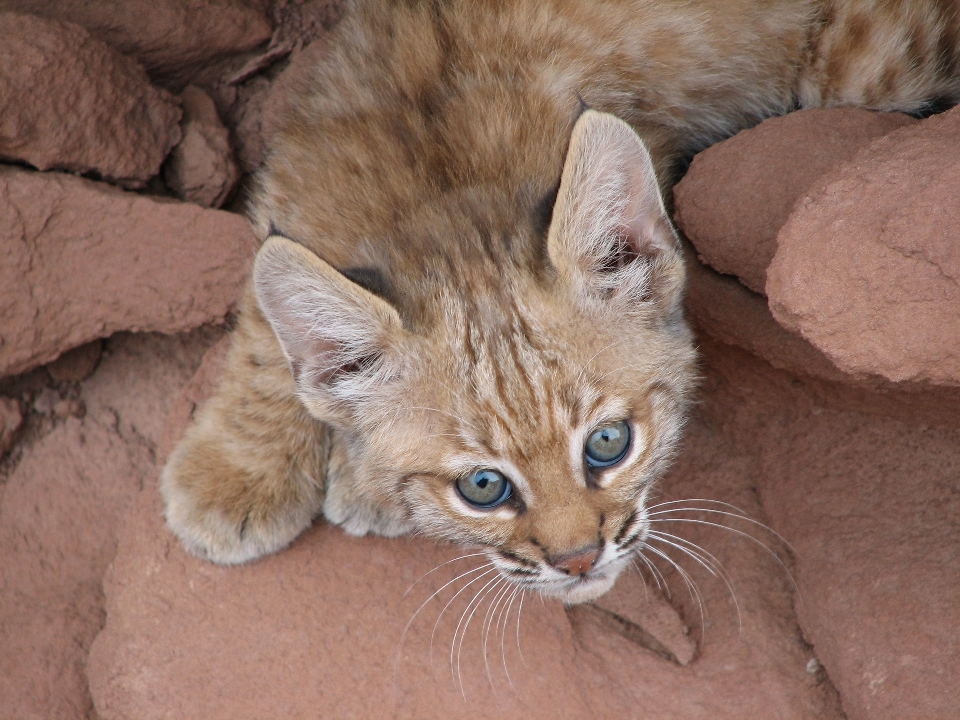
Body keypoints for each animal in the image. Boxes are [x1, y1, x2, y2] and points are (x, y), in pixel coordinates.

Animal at [163, 0, 960, 604]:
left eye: (609, 443)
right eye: (484, 487)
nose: (577, 560)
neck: (440, 181)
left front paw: (350, 482)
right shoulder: (297, 174)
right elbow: (264, 318)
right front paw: (238, 472)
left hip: (867, 65)